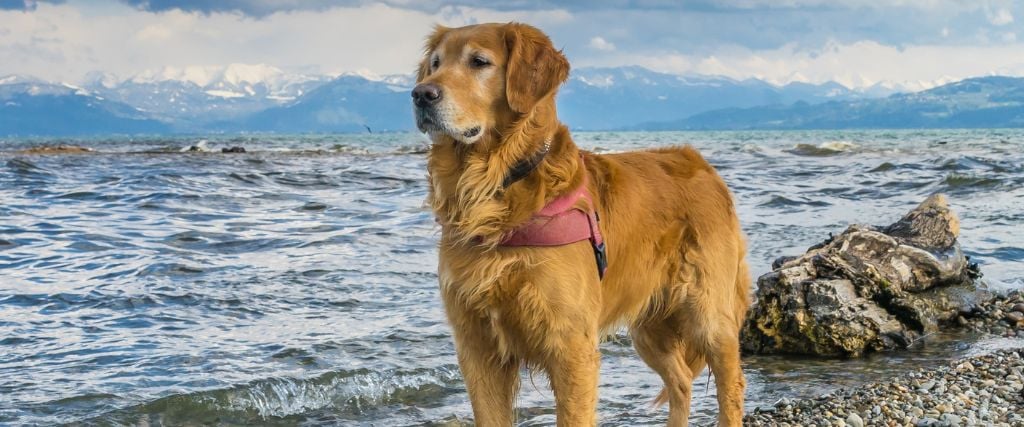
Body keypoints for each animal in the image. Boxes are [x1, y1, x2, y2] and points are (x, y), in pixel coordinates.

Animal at [411, 23, 749, 425]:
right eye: (434, 64)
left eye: (479, 62)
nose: (420, 94)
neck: (497, 187)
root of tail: (701, 163)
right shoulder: (477, 347)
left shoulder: (570, 345)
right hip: (648, 325)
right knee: (680, 380)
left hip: (707, 313)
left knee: (731, 384)